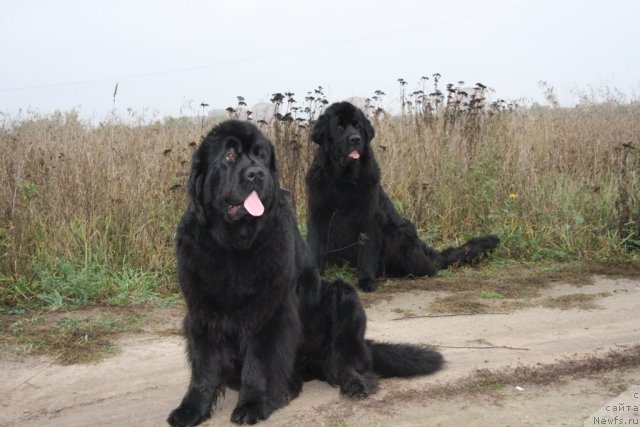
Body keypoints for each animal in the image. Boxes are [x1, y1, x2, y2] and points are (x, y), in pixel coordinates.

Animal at [168, 121, 442, 427]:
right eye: (229, 156)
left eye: (261, 156)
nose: (257, 173)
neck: (233, 246)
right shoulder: (202, 312)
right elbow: (204, 370)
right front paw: (192, 409)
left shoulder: (271, 312)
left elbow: (258, 363)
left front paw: (252, 404)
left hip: (343, 298)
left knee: (344, 361)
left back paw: (351, 383)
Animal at [304, 102, 500, 292]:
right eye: (339, 127)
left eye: (358, 126)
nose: (355, 139)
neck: (343, 180)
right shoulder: (317, 213)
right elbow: (314, 247)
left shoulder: (370, 218)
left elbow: (367, 252)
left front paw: (367, 281)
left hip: (399, 234)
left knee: (428, 269)